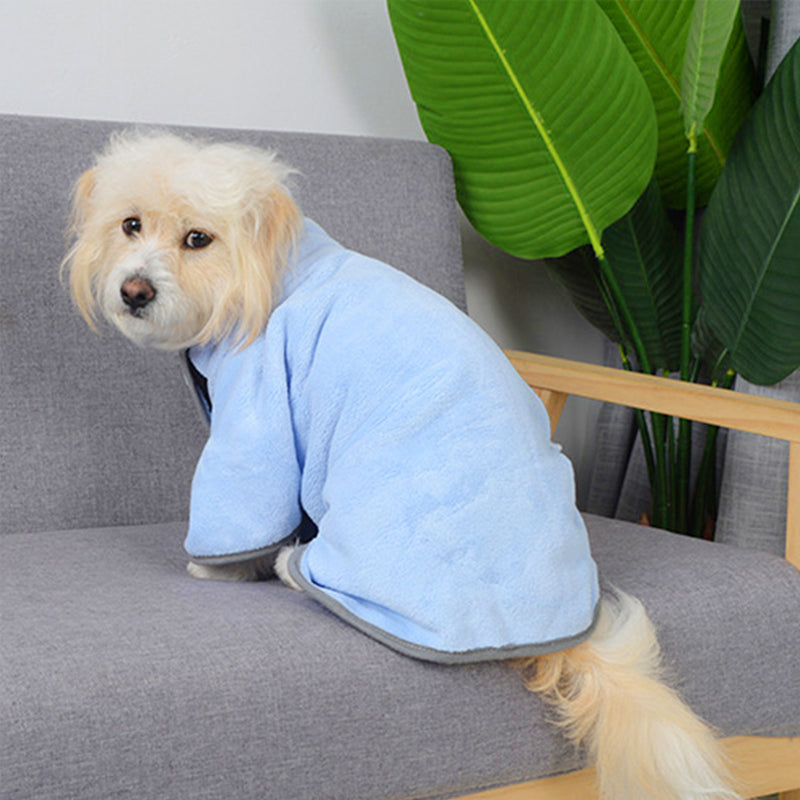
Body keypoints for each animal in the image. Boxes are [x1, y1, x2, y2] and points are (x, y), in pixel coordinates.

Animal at [62, 133, 736, 800]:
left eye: (198, 239)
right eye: (130, 225)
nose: (135, 291)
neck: (272, 270)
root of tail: (556, 628)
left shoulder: (255, 411)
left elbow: (242, 507)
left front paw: (216, 570)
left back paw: (290, 567)